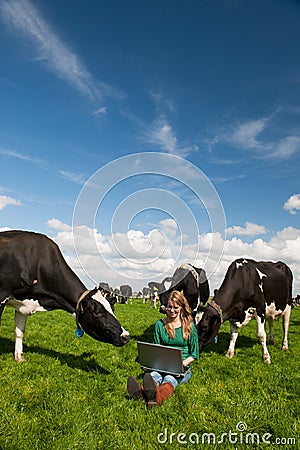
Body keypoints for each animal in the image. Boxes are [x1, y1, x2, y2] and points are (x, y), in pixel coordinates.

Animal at [0, 230, 130, 360]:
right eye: (97, 312)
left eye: (113, 309)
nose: (126, 336)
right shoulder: (3, 295)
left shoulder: (23, 304)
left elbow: (20, 331)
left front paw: (19, 357)